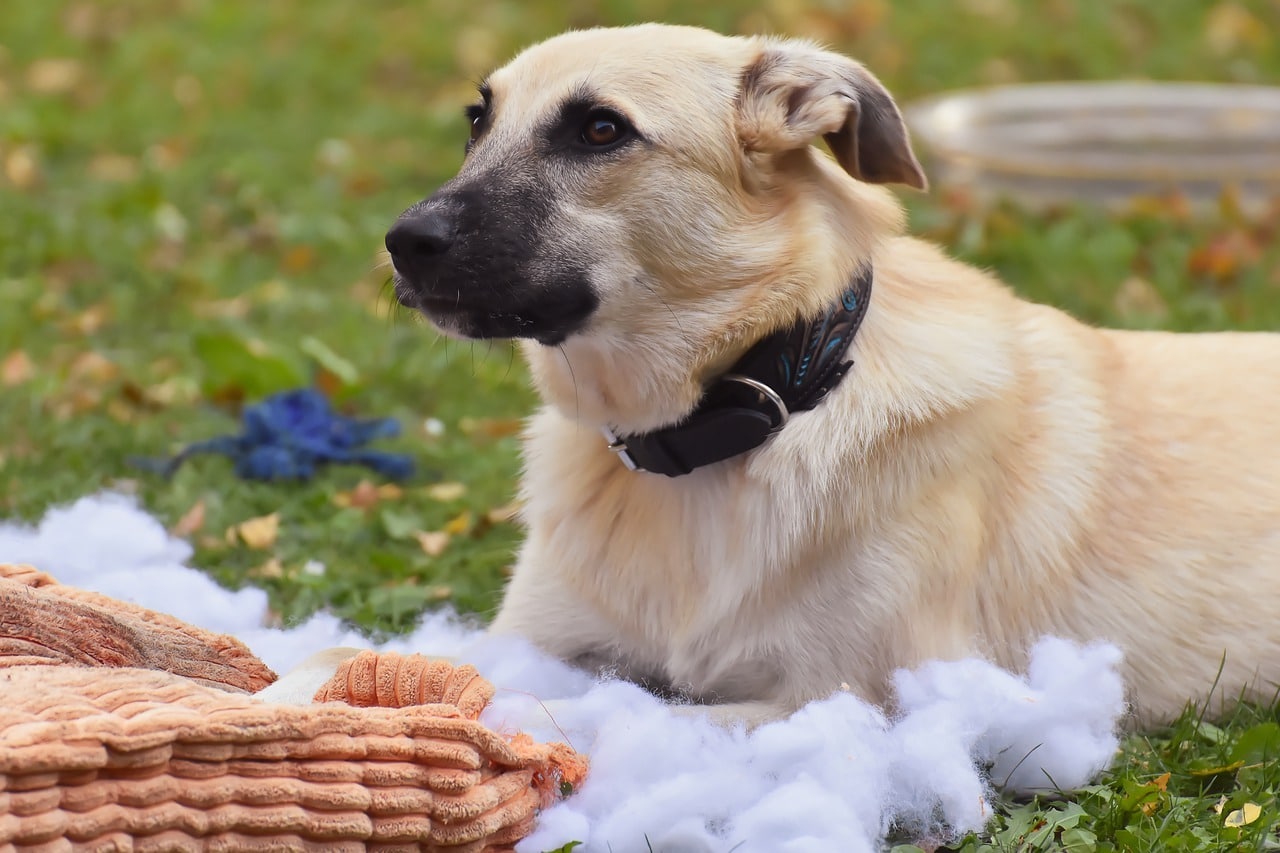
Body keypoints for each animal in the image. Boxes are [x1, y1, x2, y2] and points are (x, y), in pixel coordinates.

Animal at [366, 23, 1280, 722]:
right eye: (477, 119)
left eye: (600, 129)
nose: (404, 242)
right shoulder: (531, 639)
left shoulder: (840, 696)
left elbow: (595, 719)